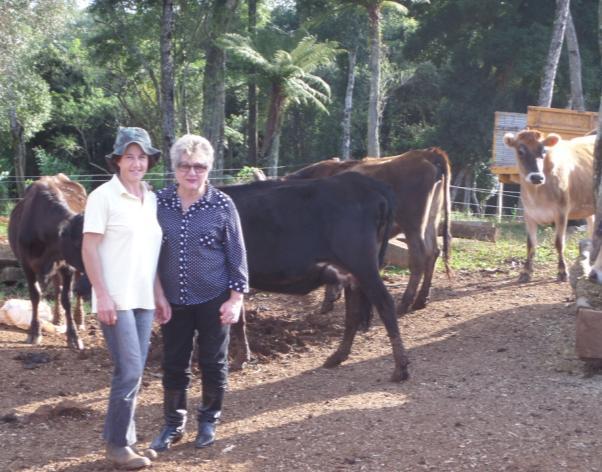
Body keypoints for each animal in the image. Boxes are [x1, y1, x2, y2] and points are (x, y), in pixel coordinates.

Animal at [8, 175, 86, 348]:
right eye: (79, 242)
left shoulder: (68, 266)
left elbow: (67, 298)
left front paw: (73, 336)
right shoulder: (26, 265)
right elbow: (35, 295)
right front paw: (34, 332)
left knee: (75, 291)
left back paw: (79, 319)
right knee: (57, 288)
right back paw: (58, 318)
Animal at [220, 171, 408, 382]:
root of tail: (361, 181)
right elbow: (238, 318)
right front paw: (241, 359)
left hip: (362, 265)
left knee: (384, 303)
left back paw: (400, 368)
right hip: (352, 272)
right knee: (353, 312)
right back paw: (337, 356)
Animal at [286, 149, 450, 316]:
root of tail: (425, 153)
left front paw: (329, 300)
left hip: (412, 224)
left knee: (419, 258)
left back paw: (404, 304)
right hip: (432, 218)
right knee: (433, 252)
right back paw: (421, 300)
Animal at [502, 129, 596, 282]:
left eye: (544, 150)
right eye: (520, 151)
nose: (536, 177)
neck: (537, 194)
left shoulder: (562, 212)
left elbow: (559, 243)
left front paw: (562, 272)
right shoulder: (529, 214)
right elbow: (530, 244)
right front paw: (526, 272)